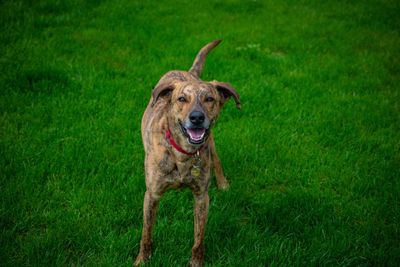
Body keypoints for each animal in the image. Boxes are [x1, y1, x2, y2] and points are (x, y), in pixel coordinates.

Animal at [134, 40, 241, 267]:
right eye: (182, 99)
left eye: (209, 98)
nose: (197, 117)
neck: (182, 153)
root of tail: (188, 73)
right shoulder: (152, 195)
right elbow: (146, 233)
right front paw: (142, 259)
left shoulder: (201, 197)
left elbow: (198, 239)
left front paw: (196, 262)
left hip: (212, 143)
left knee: (217, 159)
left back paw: (223, 183)